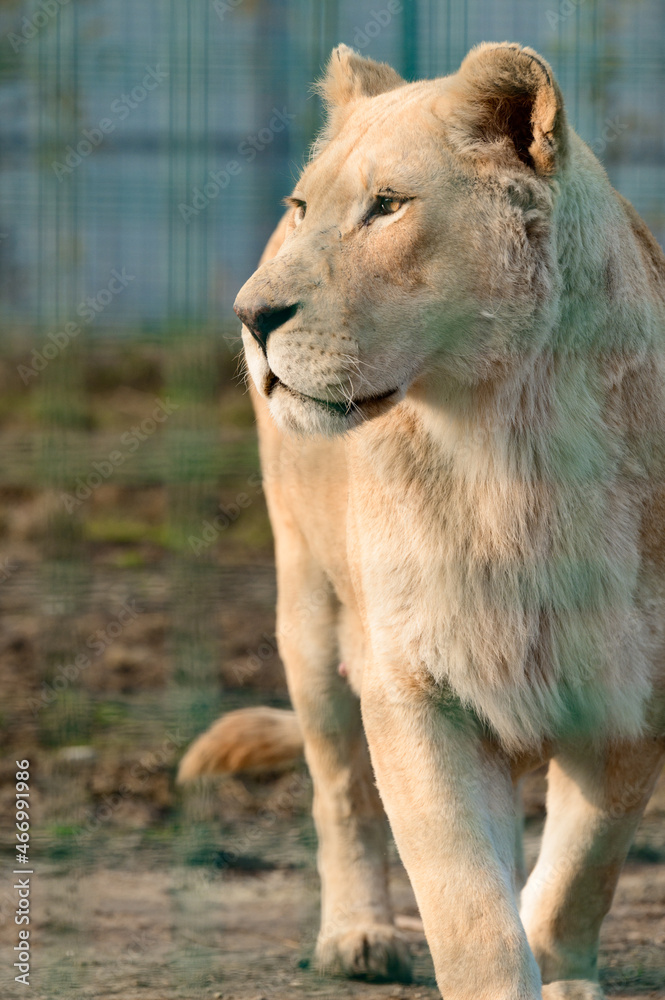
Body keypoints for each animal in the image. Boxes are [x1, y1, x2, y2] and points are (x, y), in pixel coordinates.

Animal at [179, 43, 665, 999]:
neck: (510, 447)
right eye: (302, 208)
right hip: (310, 617)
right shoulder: (414, 687)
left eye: (387, 205)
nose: (249, 317)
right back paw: (359, 937)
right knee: (339, 794)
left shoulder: (633, 697)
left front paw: (562, 969)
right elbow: (466, 906)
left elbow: (579, 870)